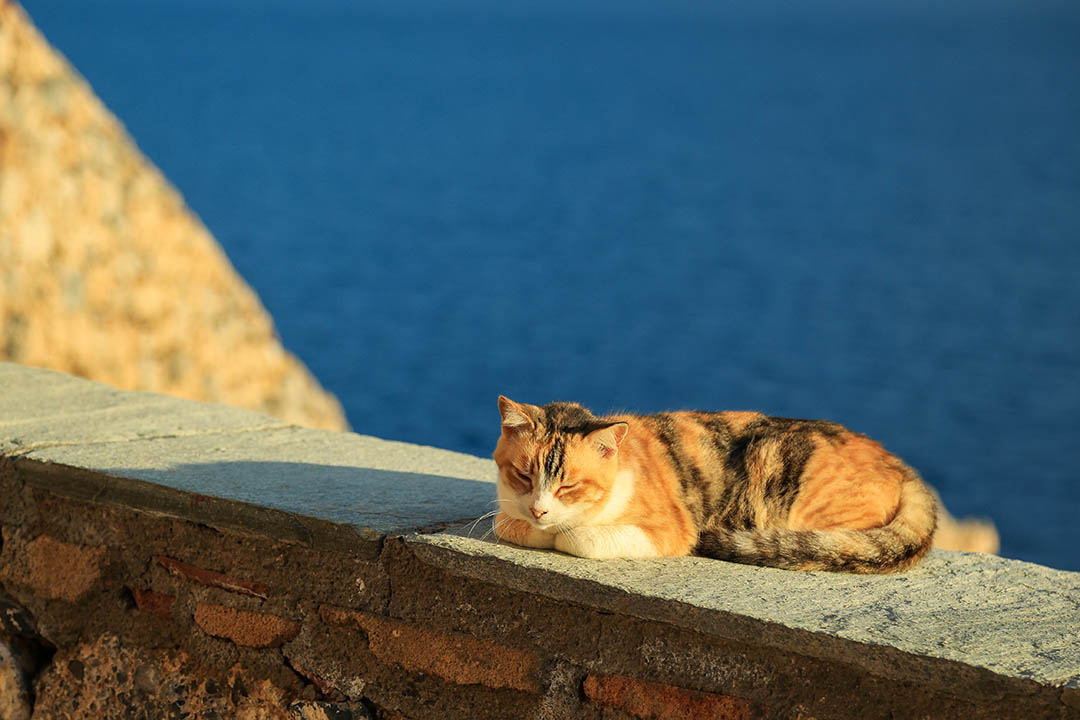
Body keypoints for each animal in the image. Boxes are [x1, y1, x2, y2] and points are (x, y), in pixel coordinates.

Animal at [490, 395, 937, 574]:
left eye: (568, 486)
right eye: (524, 475)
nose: (540, 509)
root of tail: (897, 463)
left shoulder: (674, 528)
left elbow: (578, 537)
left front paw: (561, 530)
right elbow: (505, 522)